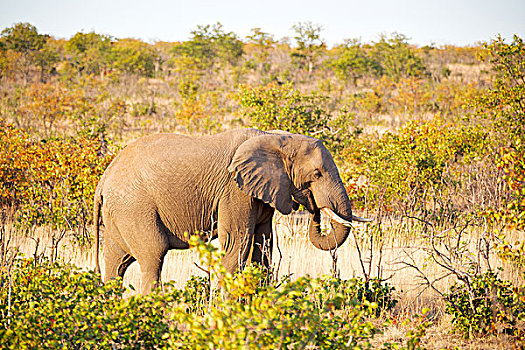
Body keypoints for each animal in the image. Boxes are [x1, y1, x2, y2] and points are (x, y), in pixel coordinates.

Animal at [92, 127, 370, 294]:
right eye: (317, 174)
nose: (313, 207)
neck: (274, 138)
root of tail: (103, 179)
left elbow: (263, 244)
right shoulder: (234, 191)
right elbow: (238, 243)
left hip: (120, 213)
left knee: (117, 262)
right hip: (135, 206)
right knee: (153, 255)